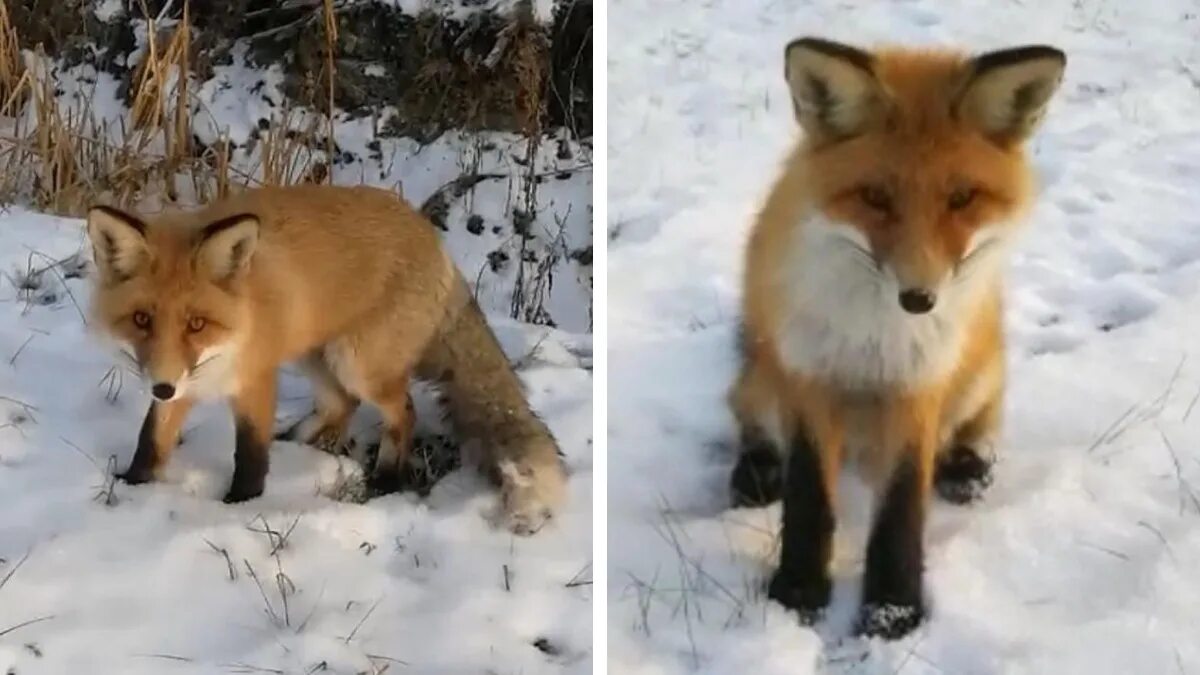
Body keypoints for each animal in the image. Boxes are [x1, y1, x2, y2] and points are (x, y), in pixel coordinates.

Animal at [88, 182, 566, 530]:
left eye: (196, 324)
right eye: (142, 319)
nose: (162, 387)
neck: (238, 324)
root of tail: (436, 241)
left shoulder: (254, 376)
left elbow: (250, 452)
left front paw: (241, 503)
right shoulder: (186, 382)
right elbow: (151, 440)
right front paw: (132, 486)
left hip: (356, 364)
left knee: (402, 410)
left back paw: (387, 477)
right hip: (316, 356)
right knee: (342, 405)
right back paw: (295, 442)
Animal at [724, 38, 1065, 634]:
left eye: (962, 198)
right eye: (875, 197)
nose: (919, 299)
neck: (874, 335)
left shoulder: (919, 384)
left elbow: (902, 506)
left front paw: (891, 609)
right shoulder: (809, 376)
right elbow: (808, 497)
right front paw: (799, 589)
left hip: (976, 375)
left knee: (982, 420)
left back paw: (967, 466)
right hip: (766, 377)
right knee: (747, 415)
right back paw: (756, 469)